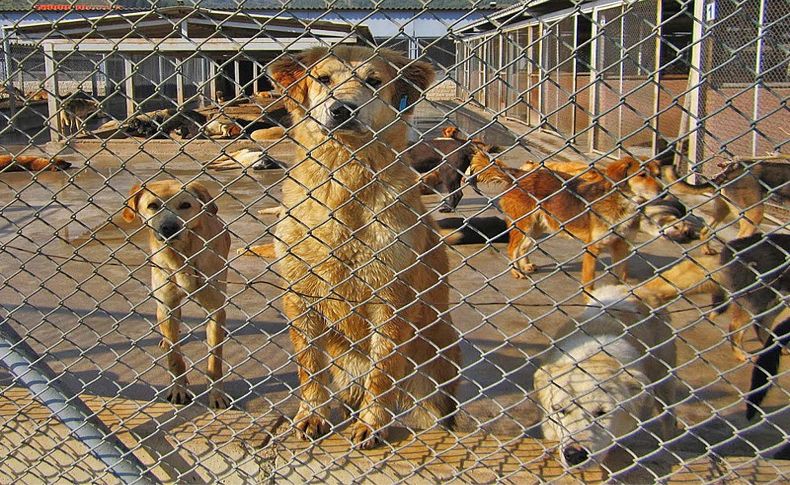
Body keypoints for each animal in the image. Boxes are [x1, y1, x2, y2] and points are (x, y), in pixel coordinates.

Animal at [121, 180, 232, 406]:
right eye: (153, 206)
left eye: (185, 205)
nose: (169, 228)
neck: (181, 257)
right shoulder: (167, 305)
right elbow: (175, 358)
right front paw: (179, 389)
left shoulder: (214, 308)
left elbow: (214, 360)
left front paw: (217, 394)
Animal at [270, 44, 460, 446]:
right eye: (323, 79)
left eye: (373, 82)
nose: (342, 109)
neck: (344, 181)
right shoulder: (299, 295)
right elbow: (309, 367)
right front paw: (311, 415)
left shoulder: (391, 299)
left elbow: (382, 369)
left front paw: (372, 423)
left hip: (435, 378)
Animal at [470, 151, 668, 288]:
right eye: (642, 175)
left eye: (658, 175)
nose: (664, 193)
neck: (623, 205)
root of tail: (518, 174)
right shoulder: (593, 248)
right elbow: (589, 281)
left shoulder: (622, 246)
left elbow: (621, 276)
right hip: (523, 224)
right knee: (513, 249)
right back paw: (516, 272)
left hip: (537, 227)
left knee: (523, 247)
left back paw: (524, 266)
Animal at [540, 286, 680, 470]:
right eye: (559, 409)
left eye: (602, 413)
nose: (574, 455)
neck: (595, 357)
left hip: (664, 379)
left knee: (668, 418)